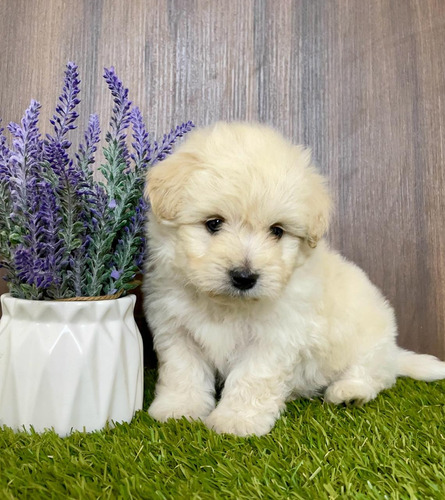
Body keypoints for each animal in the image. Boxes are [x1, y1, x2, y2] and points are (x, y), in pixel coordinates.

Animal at [143, 122, 444, 438]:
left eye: (277, 231)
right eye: (213, 223)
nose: (244, 277)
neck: (228, 305)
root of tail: (393, 353)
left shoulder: (273, 338)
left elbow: (252, 379)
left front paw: (237, 420)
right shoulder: (176, 330)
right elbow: (183, 372)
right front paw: (179, 409)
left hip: (370, 340)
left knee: (374, 375)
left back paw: (349, 392)